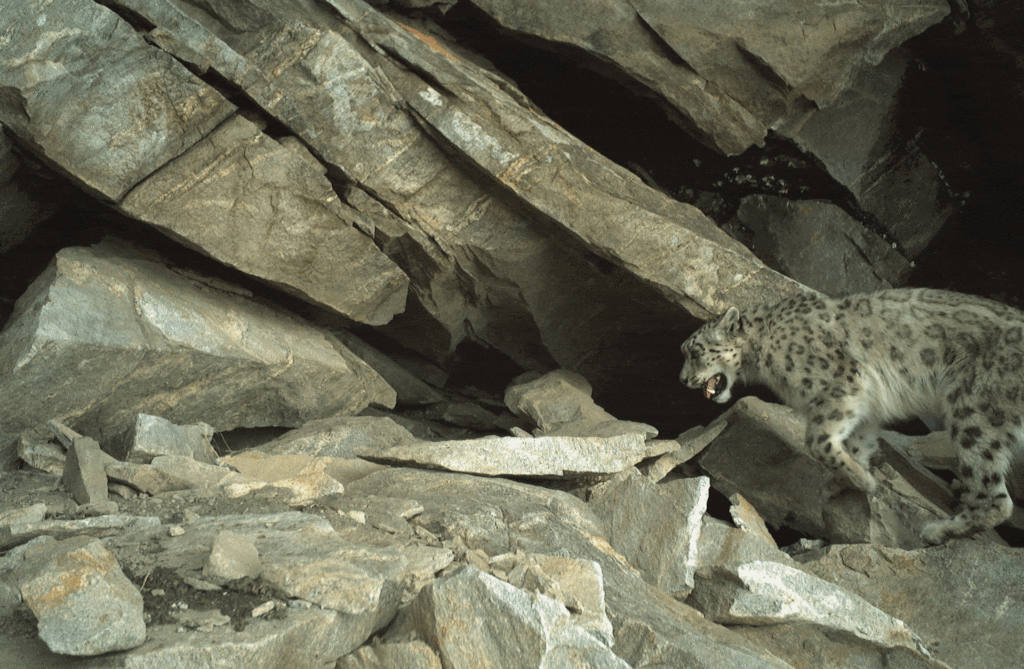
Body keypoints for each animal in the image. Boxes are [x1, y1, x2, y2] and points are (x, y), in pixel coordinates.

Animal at [679, 287, 1022, 544]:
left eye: (694, 352)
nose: (682, 379)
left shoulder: (841, 384)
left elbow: (818, 441)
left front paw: (863, 480)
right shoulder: (864, 408)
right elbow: (857, 441)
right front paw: (846, 479)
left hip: (976, 412)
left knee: (996, 498)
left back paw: (937, 531)